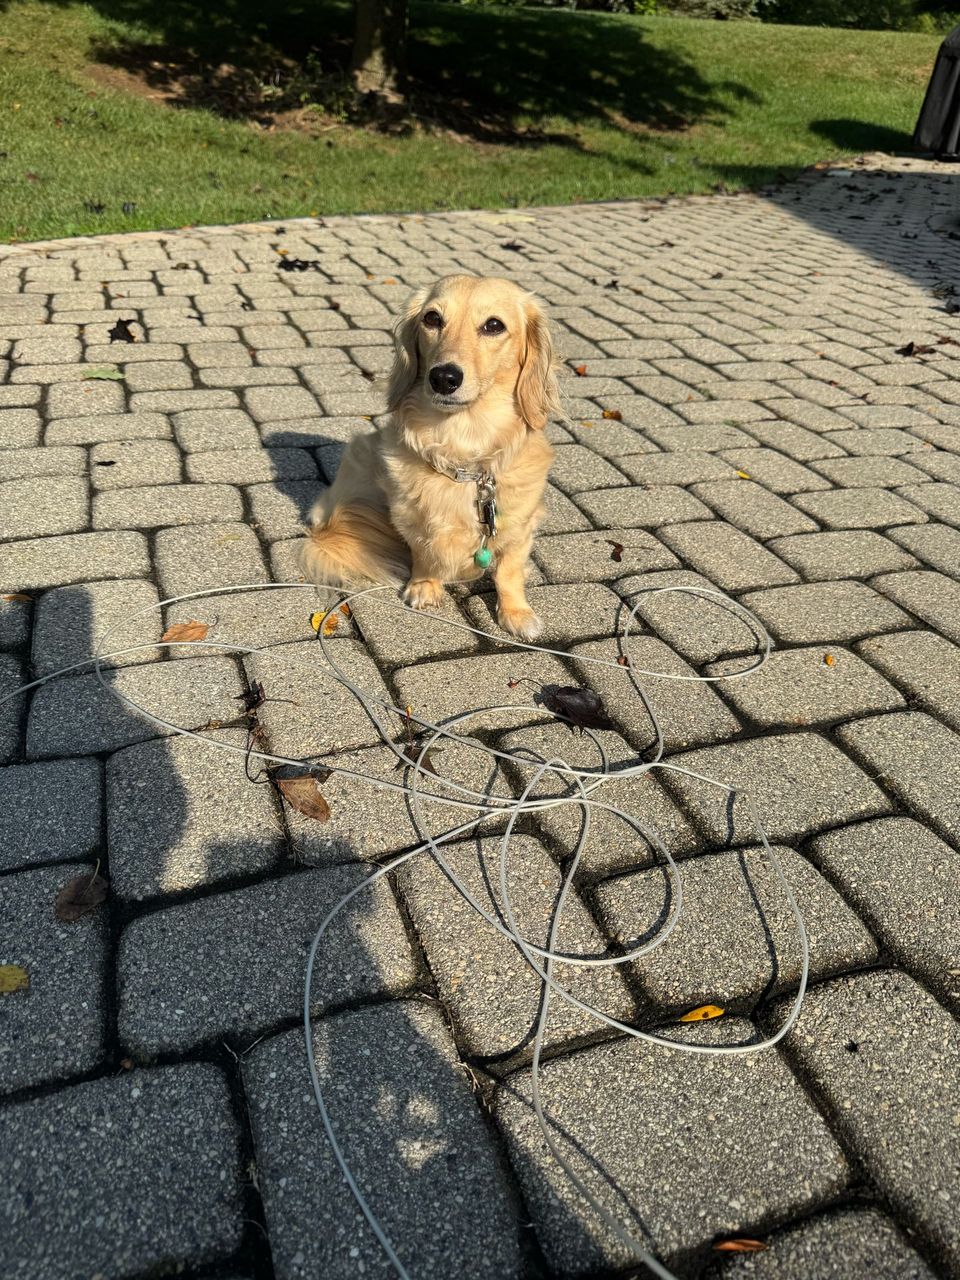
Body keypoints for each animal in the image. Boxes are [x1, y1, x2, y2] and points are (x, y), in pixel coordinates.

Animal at [298, 275, 560, 640]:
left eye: (494, 325)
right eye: (432, 319)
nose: (443, 377)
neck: (464, 451)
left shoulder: (520, 525)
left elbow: (509, 569)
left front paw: (515, 611)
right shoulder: (410, 516)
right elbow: (423, 550)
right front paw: (424, 585)